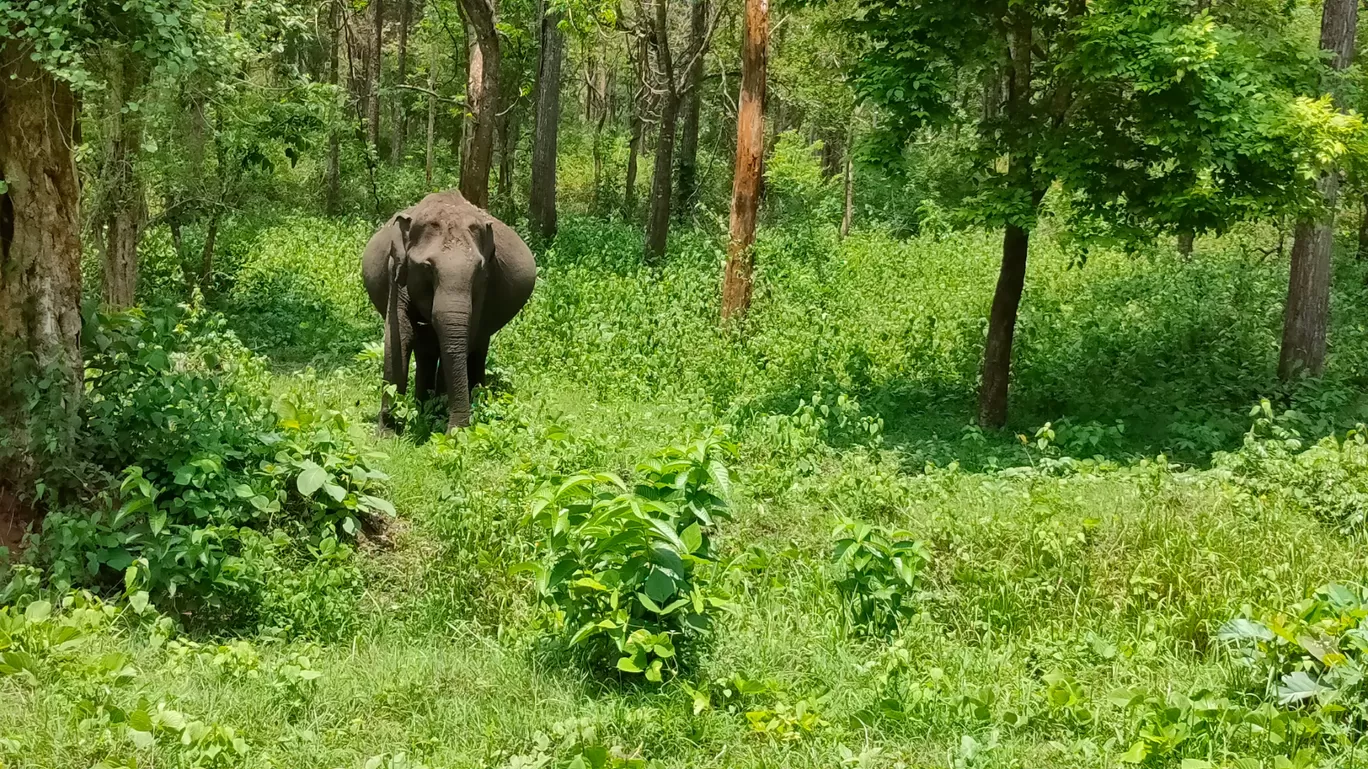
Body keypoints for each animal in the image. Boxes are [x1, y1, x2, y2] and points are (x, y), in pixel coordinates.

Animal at [361, 190, 536, 432]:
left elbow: (463, 337)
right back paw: (422, 404)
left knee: (477, 345)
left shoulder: (484, 286)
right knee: (425, 348)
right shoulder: (395, 271)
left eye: (479, 269)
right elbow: (399, 336)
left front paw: (441, 421)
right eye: (427, 268)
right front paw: (388, 432)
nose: (456, 430)